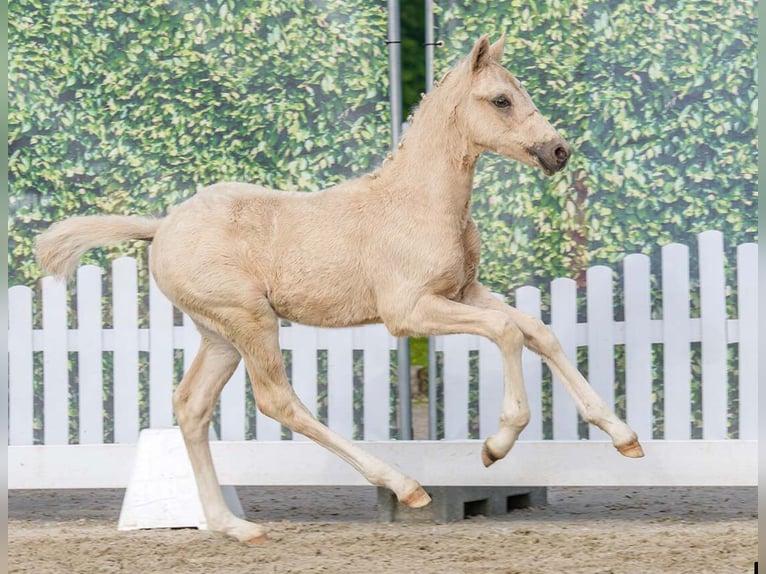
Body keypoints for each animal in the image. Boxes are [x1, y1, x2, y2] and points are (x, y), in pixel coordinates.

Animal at [36, 34, 644, 543]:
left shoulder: (463, 292)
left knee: (191, 407)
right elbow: (506, 333)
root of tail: (161, 227)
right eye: (500, 100)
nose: (558, 151)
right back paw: (405, 486)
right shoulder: (410, 312)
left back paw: (234, 526)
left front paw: (623, 437)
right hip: (249, 321)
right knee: (277, 400)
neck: (421, 203)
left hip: (219, 336)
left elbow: (539, 332)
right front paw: (496, 445)